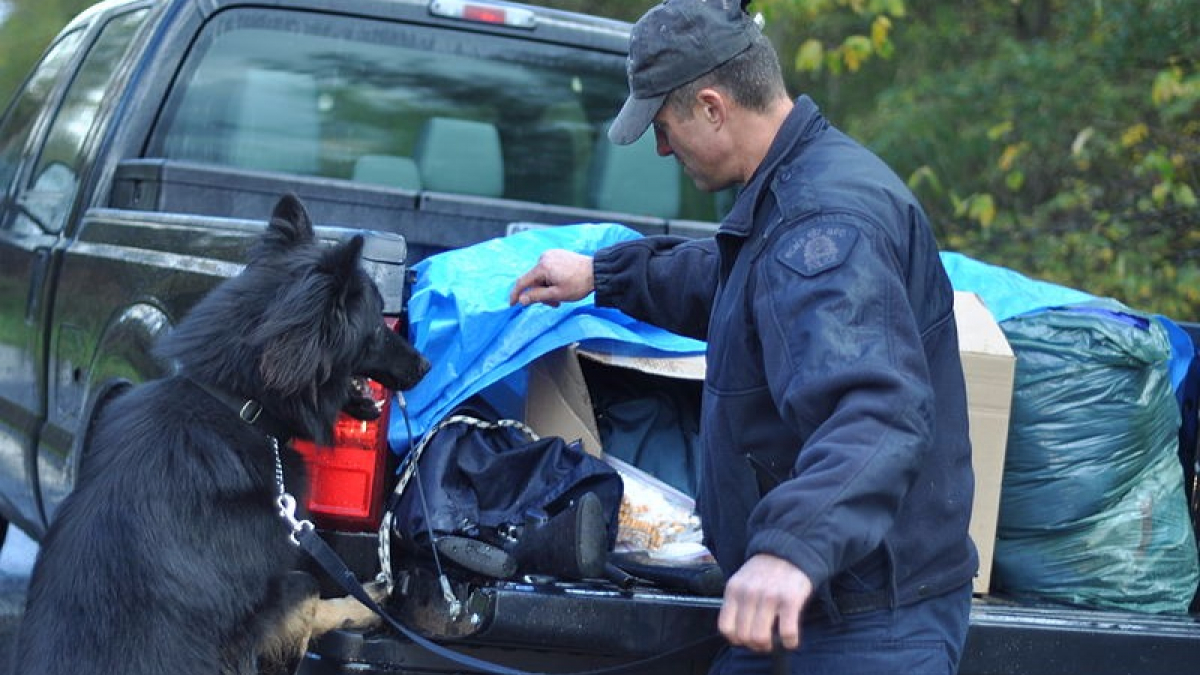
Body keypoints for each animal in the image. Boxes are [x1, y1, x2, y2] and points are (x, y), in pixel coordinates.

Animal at [15, 193, 432, 672]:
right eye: (378, 324)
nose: (426, 365)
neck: (235, 404)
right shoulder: (249, 617)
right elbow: (311, 591)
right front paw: (366, 602)